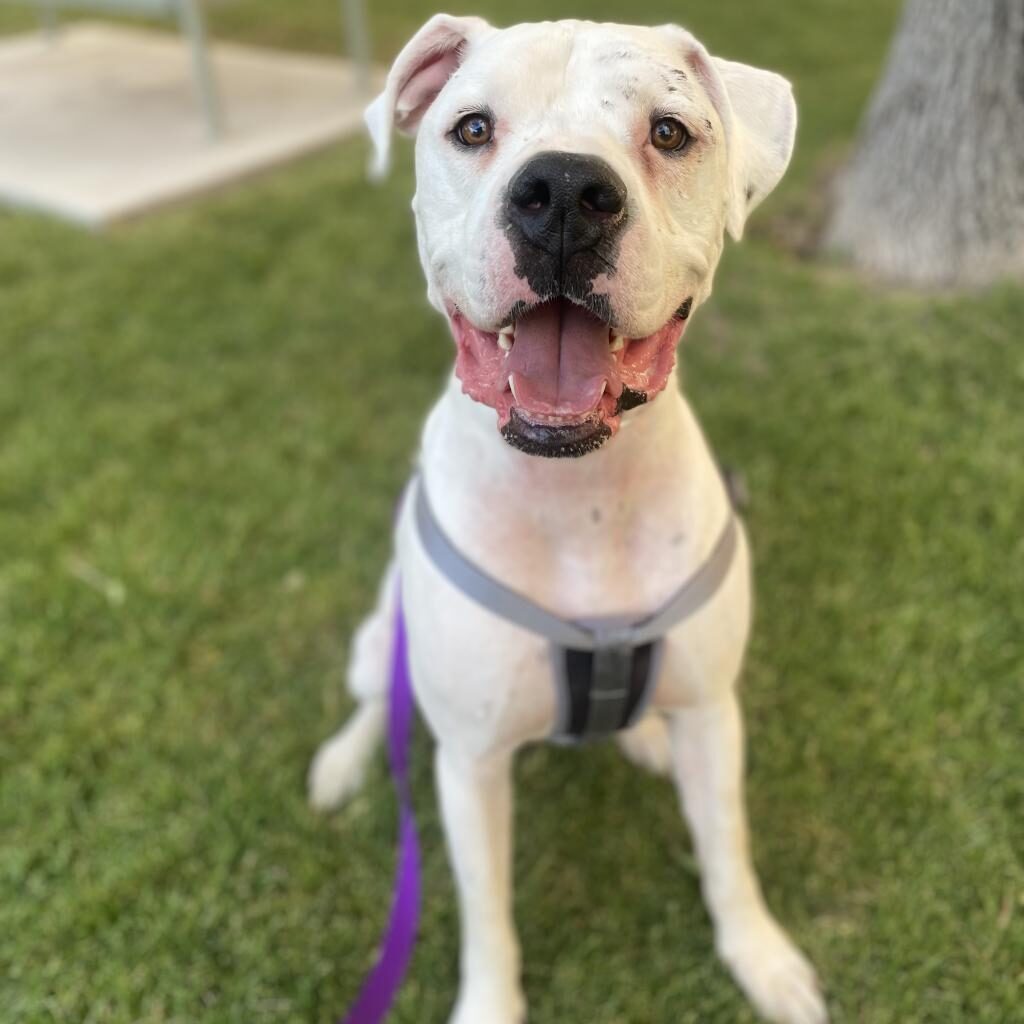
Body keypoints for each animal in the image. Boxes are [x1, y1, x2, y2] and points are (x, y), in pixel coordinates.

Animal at [307, 16, 827, 1024]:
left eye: (669, 132)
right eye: (472, 128)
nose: (561, 196)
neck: (578, 494)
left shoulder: (715, 713)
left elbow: (729, 852)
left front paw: (762, 957)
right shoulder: (469, 764)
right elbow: (486, 913)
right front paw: (490, 1003)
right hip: (377, 634)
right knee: (375, 701)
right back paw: (344, 765)